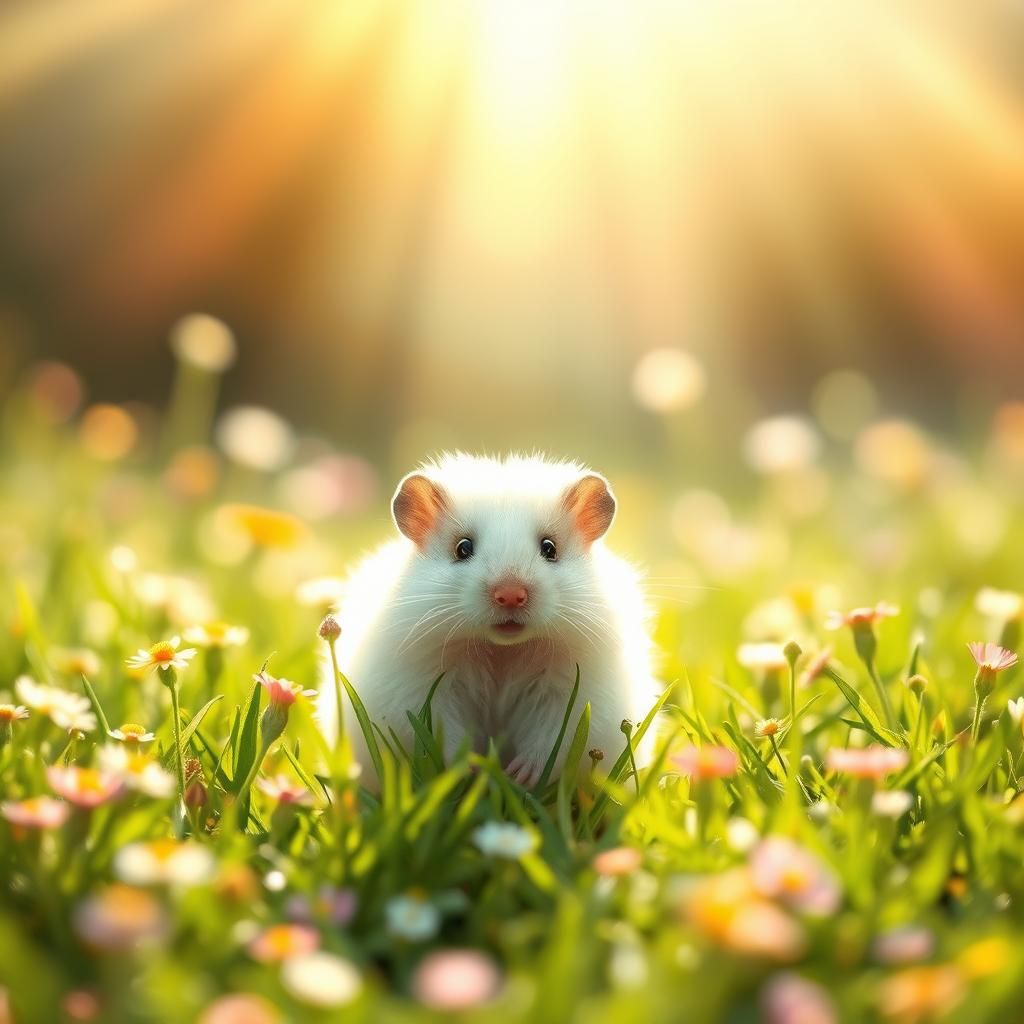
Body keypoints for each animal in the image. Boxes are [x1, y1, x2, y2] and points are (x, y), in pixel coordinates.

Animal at [318, 453, 659, 788]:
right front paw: (473, 769)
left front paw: (520, 777)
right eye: (463, 548)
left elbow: (553, 740)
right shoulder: (419, 691)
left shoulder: (572, 695)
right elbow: (444, 736)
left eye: (549, 548)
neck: (503, 650)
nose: (510, 595)